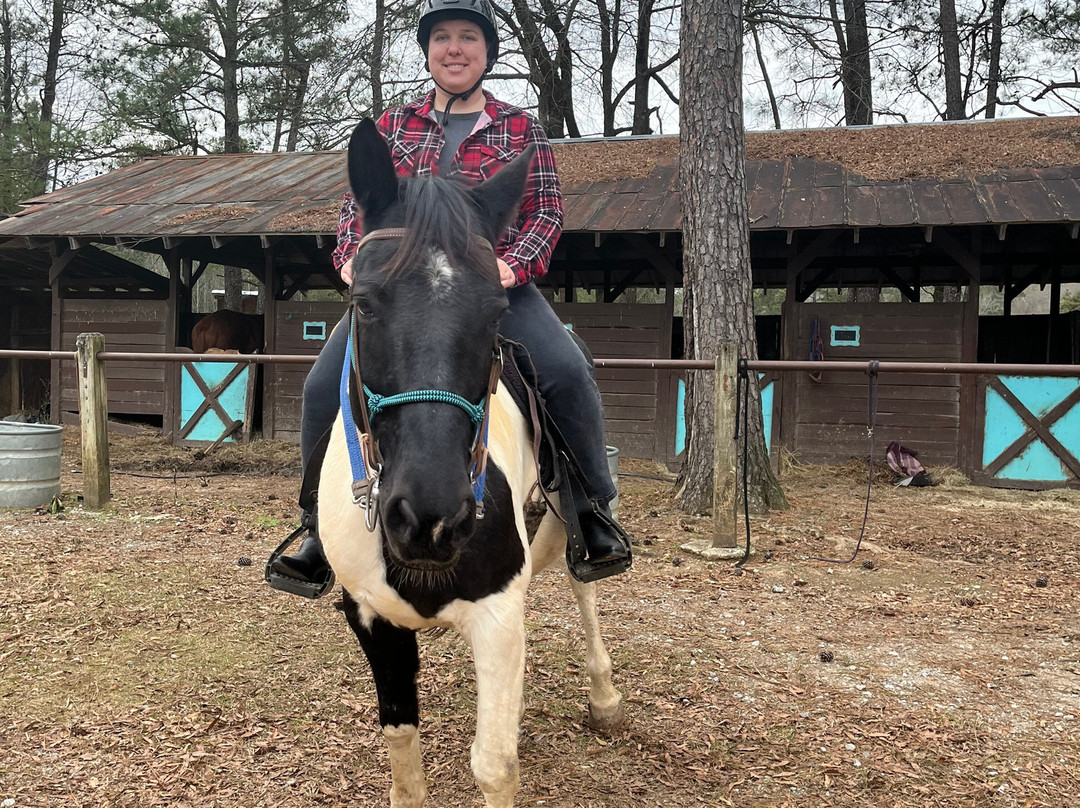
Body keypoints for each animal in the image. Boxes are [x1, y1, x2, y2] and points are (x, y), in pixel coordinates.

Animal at [315, 121, 626, 808]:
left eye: (494, 313)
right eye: (364, 303)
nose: (429, 517)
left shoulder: (498, 613)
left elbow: (495, 765)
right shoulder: (370, 617)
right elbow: (403, 750)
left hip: (568, 509)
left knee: (580, 579)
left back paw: (604, 697)